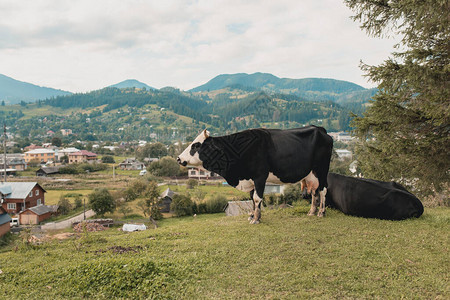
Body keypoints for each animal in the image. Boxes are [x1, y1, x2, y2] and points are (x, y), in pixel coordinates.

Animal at [178, 126, 332, 223]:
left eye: (196, 145)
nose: (179, 158)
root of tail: (320, 129)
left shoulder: (259, 177)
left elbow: (257, 198)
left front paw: (257, 219)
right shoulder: (250, 179)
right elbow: (252, 198)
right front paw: (252, 215)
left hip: (322, 170)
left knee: (323, 190)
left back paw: (321, 212)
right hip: (311, 174)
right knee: (314, 192)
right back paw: (312, 211)